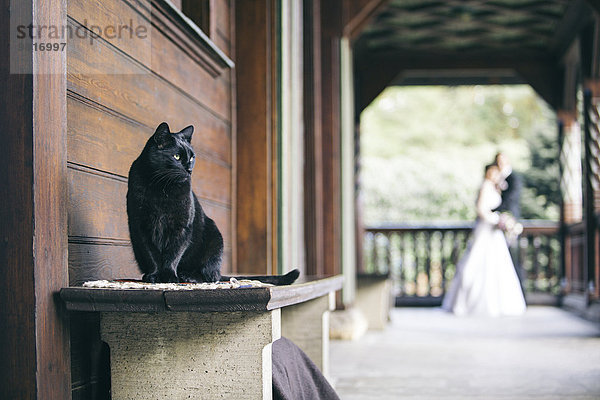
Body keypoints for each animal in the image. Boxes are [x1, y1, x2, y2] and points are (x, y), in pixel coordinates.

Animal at [125, 122, 298, 284]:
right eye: (177, 157)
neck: (162, 187)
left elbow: (173, 254)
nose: (189, 169)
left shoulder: (182, 227)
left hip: (215, 239)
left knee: (210, 276)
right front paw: (154, 275)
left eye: (192, 157)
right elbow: (151, 255)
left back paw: (188, 276)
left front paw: (169, 276)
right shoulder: (141, 226)